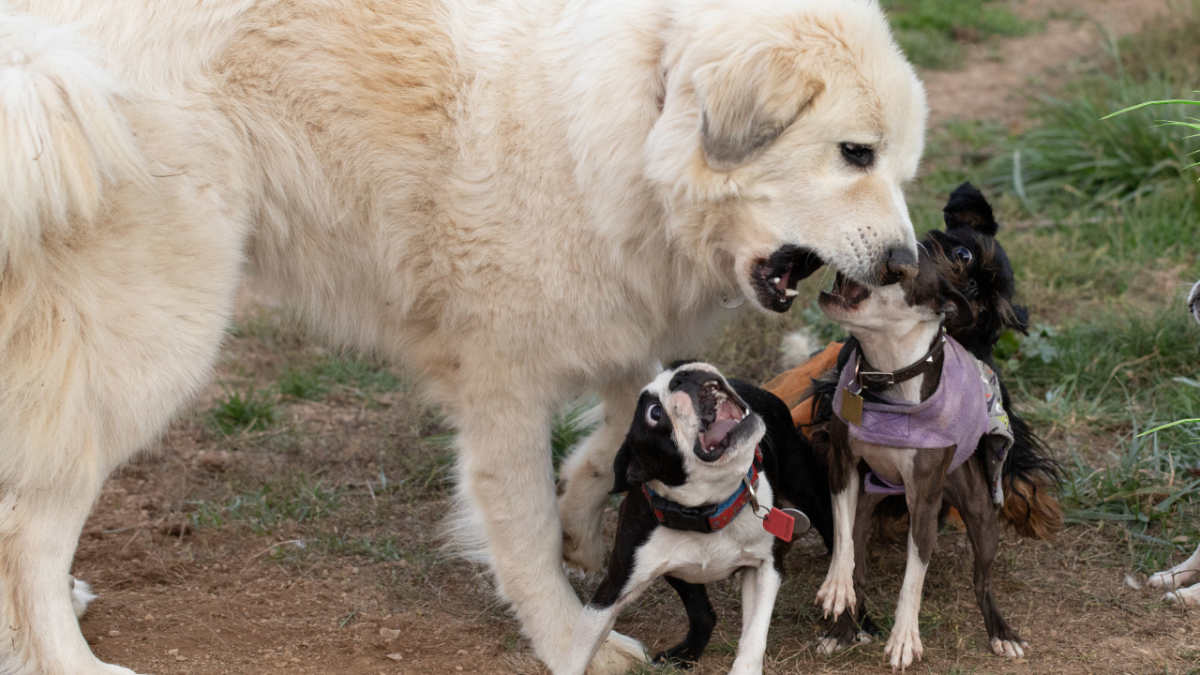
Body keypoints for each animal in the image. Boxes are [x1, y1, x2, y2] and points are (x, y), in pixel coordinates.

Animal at [564, 362, 835, 672]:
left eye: (679, 363)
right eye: (654, 413)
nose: (682, 374)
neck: (709, 508)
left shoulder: (764, 567)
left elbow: (754, 635)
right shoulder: (612, 590)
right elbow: (579, 650)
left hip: (810, 490)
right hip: (678, 572)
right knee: (703, 613)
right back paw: (686, 654)